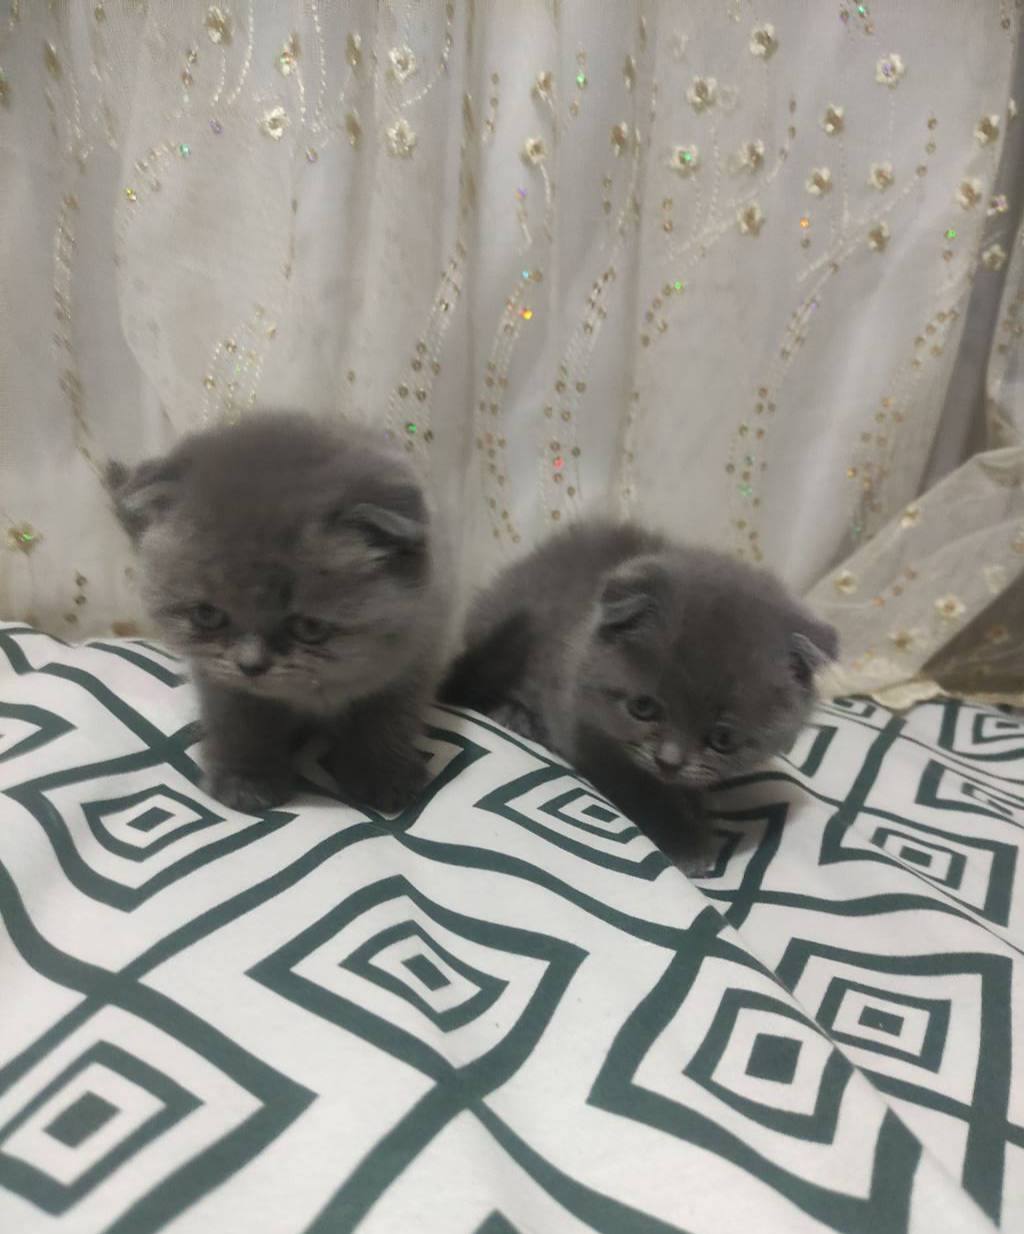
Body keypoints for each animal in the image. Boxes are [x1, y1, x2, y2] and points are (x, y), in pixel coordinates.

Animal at [108, 412, 445, 816]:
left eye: (309, 627)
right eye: (207, 615)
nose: (251, 666)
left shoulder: (414, 659)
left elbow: (387, 721)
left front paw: (383, 774)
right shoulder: (220, 680)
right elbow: (241, 722)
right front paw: (245, 780)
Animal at [441, 521, 837, 869]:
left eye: (723, 738)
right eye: (643, 708)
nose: (669, 761)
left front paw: (693, 807)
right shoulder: (581, 727)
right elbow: (634, 785)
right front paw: (683, 840)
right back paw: (517, 716)